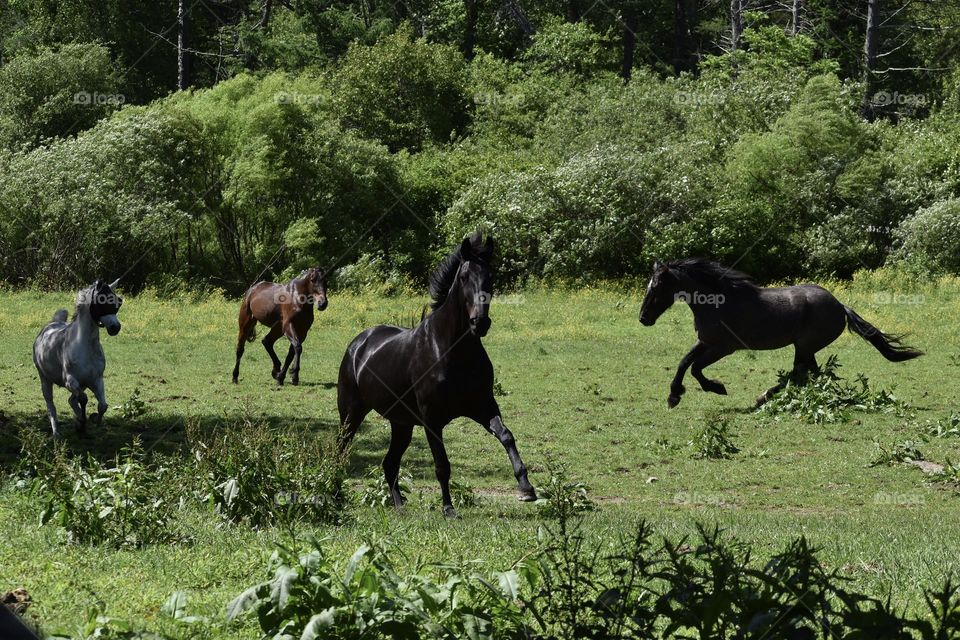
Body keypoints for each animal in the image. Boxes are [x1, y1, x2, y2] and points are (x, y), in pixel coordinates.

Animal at [338, 232, 536, 516]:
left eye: (491, 276)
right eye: (463, 276)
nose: (480, 323)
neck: (451, 351)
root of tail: (357, 345)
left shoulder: (483, 406)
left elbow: (506, 435)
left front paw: (526, 488)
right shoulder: (432, 419)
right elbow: (442, 465)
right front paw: (449, 509)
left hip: (401, 424)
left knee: (390, 463)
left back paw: (400, 507)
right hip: (351, 413)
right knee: (341, 450)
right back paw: (337, 495)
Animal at [636, 258, 924, 408]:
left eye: (657, 287)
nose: (643, 319)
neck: (718, 301)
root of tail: (840, 306)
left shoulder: (723, 347)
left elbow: (695, 368)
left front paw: (715, 388)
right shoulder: (706, 341)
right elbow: (684, 362)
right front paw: (674, 395)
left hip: (804, 346)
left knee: (799, 375)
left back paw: (763, 396)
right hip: (806, 348)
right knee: (811, 375)